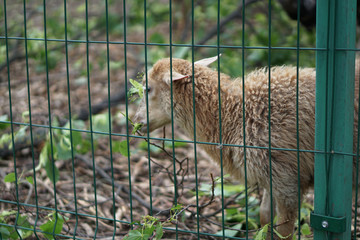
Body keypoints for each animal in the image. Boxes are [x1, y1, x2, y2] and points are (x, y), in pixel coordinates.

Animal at [134, 56, 358, 238]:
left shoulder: (287, 179)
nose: (135, 122)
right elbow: (265, 217)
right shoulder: (272, 175)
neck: (234, 115)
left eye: (148, 88)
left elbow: (284, 230)